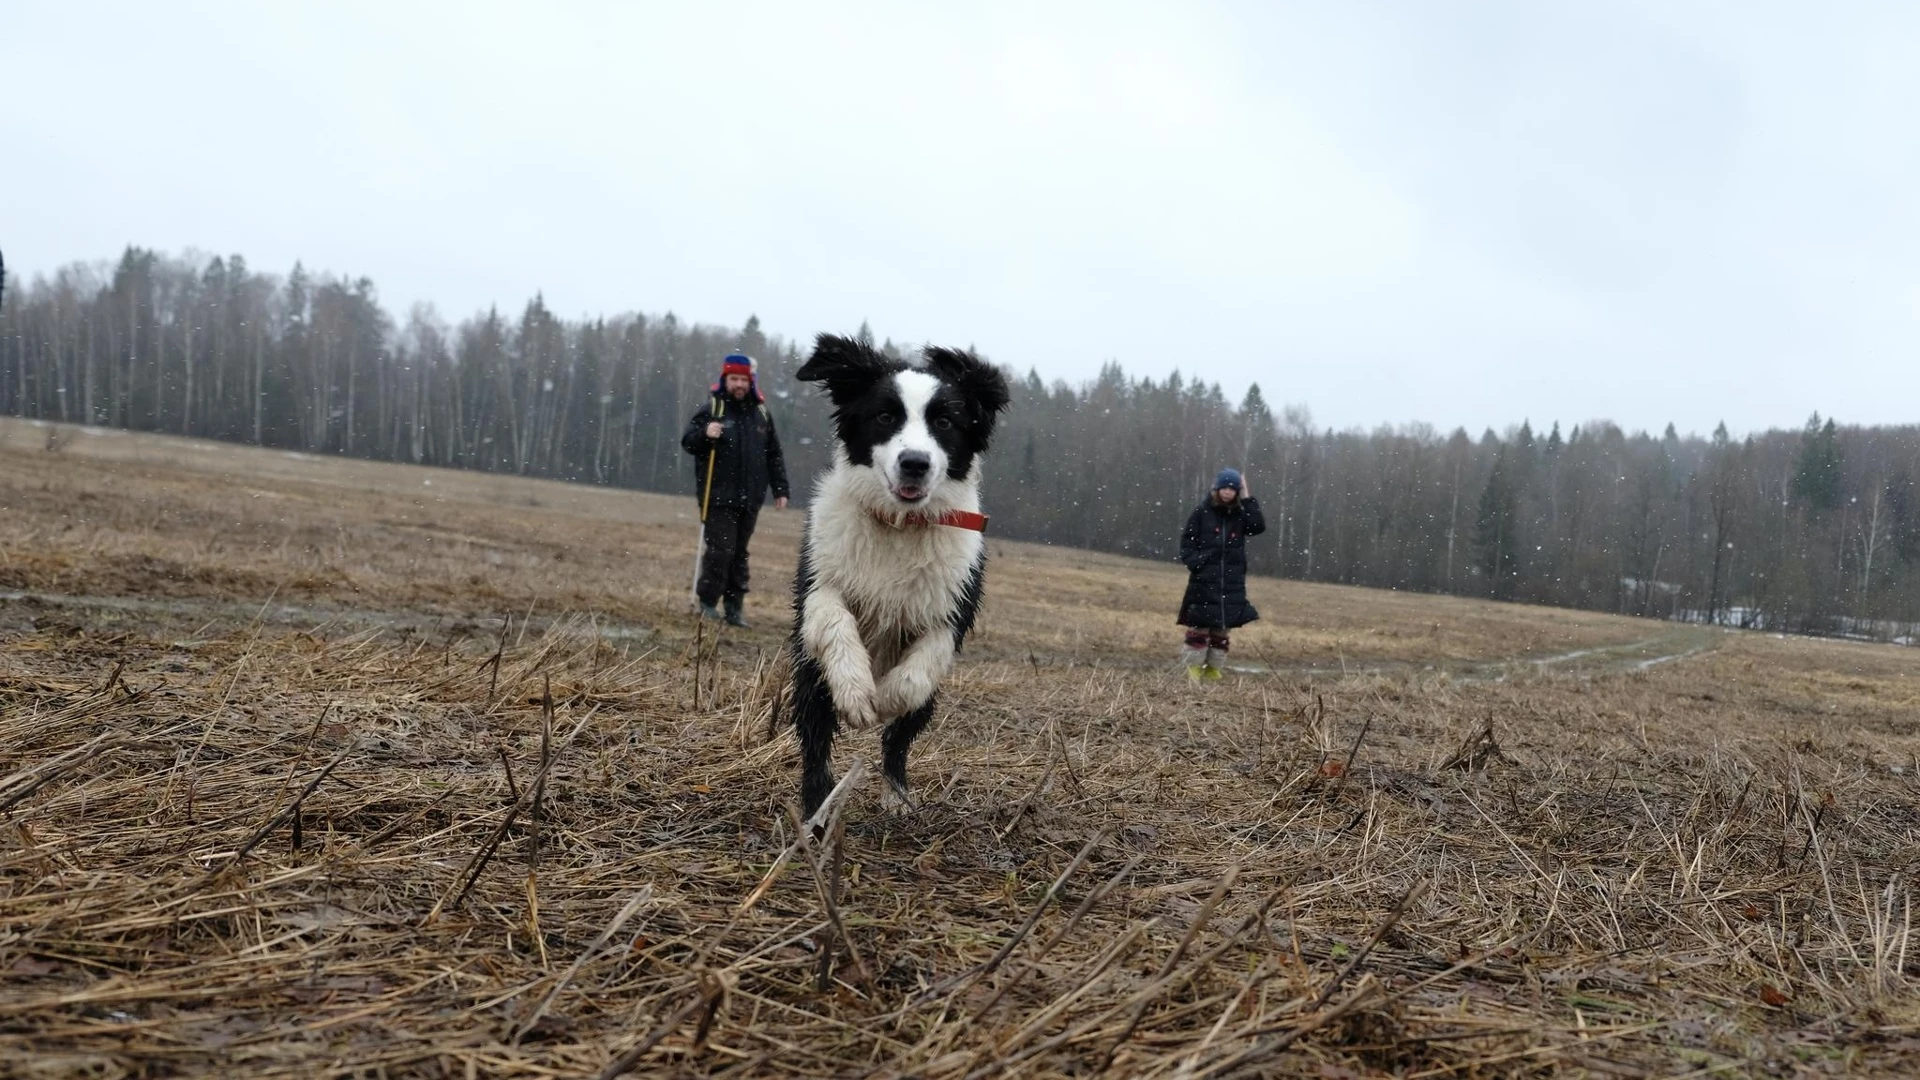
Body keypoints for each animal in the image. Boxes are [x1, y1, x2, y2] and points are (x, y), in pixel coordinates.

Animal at [783, 332, 1013, 810]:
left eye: (945, 422)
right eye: (886, 416)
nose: (915, 463)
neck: (899, 525)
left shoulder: (953, 607)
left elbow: (915, 678)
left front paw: (884, 698)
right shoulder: (819, 581)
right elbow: (834, 619)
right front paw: (856, 692)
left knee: (900, 738)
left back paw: (897, 794)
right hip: (810, 676)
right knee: (815, 737)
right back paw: (816, 805)